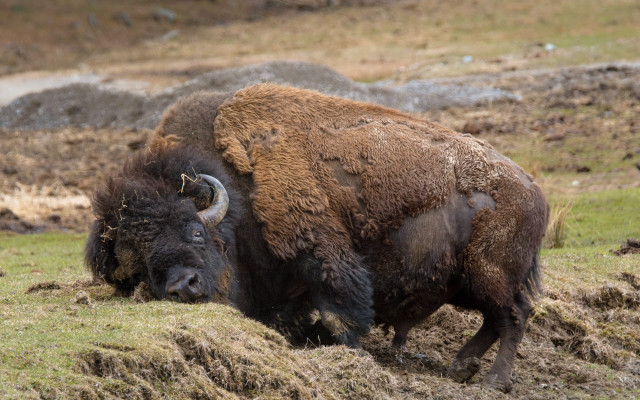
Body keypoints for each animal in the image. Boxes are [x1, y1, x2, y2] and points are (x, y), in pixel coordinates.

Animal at [86, 84, 548, 392]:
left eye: (196, 232)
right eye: (139, 265)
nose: (184, 286)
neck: (236, 197)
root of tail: (531, 187)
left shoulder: (321, 253)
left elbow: (339, 313)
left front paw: (353, 357)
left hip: (489, 272)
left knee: (513, 315)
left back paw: (492, 381)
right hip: (468, 281)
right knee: (496, 318)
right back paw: (461, 367)